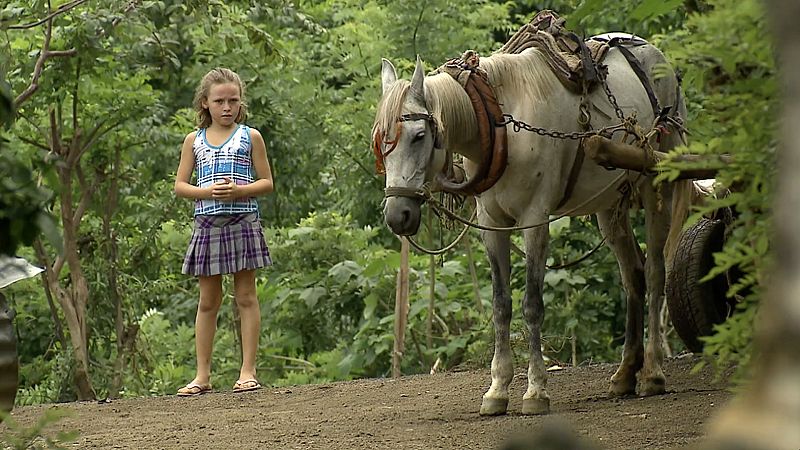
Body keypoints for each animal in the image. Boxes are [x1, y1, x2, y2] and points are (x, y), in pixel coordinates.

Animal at [372, 34, 692, 414]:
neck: (501, 122)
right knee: (634, 276)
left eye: (419, 135)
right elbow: (501, 305)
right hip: (609, 206)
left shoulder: (535, 220)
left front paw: (536, 390)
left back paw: (653, 372)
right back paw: (626, 373)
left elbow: (532, 305)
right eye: (381, 141)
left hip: (659, 185)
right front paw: (497, 389)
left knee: (656, 272)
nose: (397, 215)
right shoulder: (491, 223)